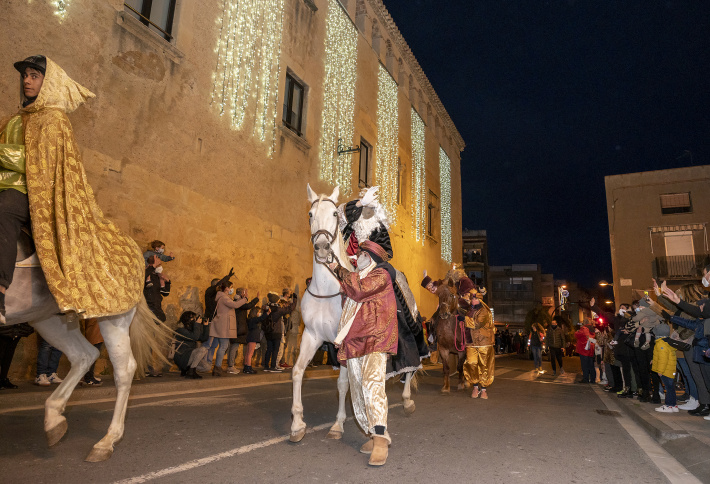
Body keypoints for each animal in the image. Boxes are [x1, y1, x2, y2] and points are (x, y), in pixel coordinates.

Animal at [5, 233, 169, 462]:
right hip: (46, 318)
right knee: (85, 355)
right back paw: (55, 419)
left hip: (111, 316)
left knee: (123, 368)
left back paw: (107, 440)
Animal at [290, 184, 418, 442]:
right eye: (310, 214)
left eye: (334, 214)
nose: (322, 248)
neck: (328, 289)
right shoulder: (312, 336)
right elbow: (298, 371)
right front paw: (297, 424)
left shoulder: (344, 343)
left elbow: (342, 383)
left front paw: (337, 425)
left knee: (410, 366)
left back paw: (407, 400)